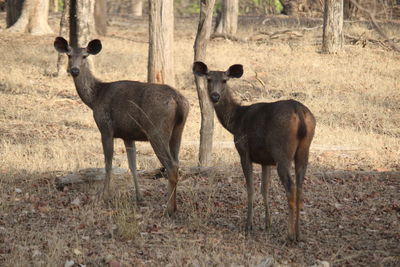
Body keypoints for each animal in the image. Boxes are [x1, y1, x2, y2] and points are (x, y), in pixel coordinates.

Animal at [53, 36, 189, 217]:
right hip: (177, 132)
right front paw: (139, 197)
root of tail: (179, 101)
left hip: (156, 130)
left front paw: (104, 196)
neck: (95, 98)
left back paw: (168, 209)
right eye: (69, 55)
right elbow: (132, 166)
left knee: (171, 166)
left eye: (84, 56)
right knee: (177, 163)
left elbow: (108, 164)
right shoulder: (128, 135)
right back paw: (174, 206)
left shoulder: (106, 128)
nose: (74, 70)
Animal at [192, 61, 318, 242]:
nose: (215, 96)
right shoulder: (266, 160)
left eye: (224, 80)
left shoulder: (244, 151)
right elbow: (264, 189)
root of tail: (299, 112)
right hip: (304, 150)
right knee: (300, 187)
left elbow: (250, 188)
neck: (236, 121)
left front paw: (249, 225)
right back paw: (298, 234)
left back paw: (289, 235)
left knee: (290, 187)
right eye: (209, 79)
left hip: (282, 151)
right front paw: (268, 224)